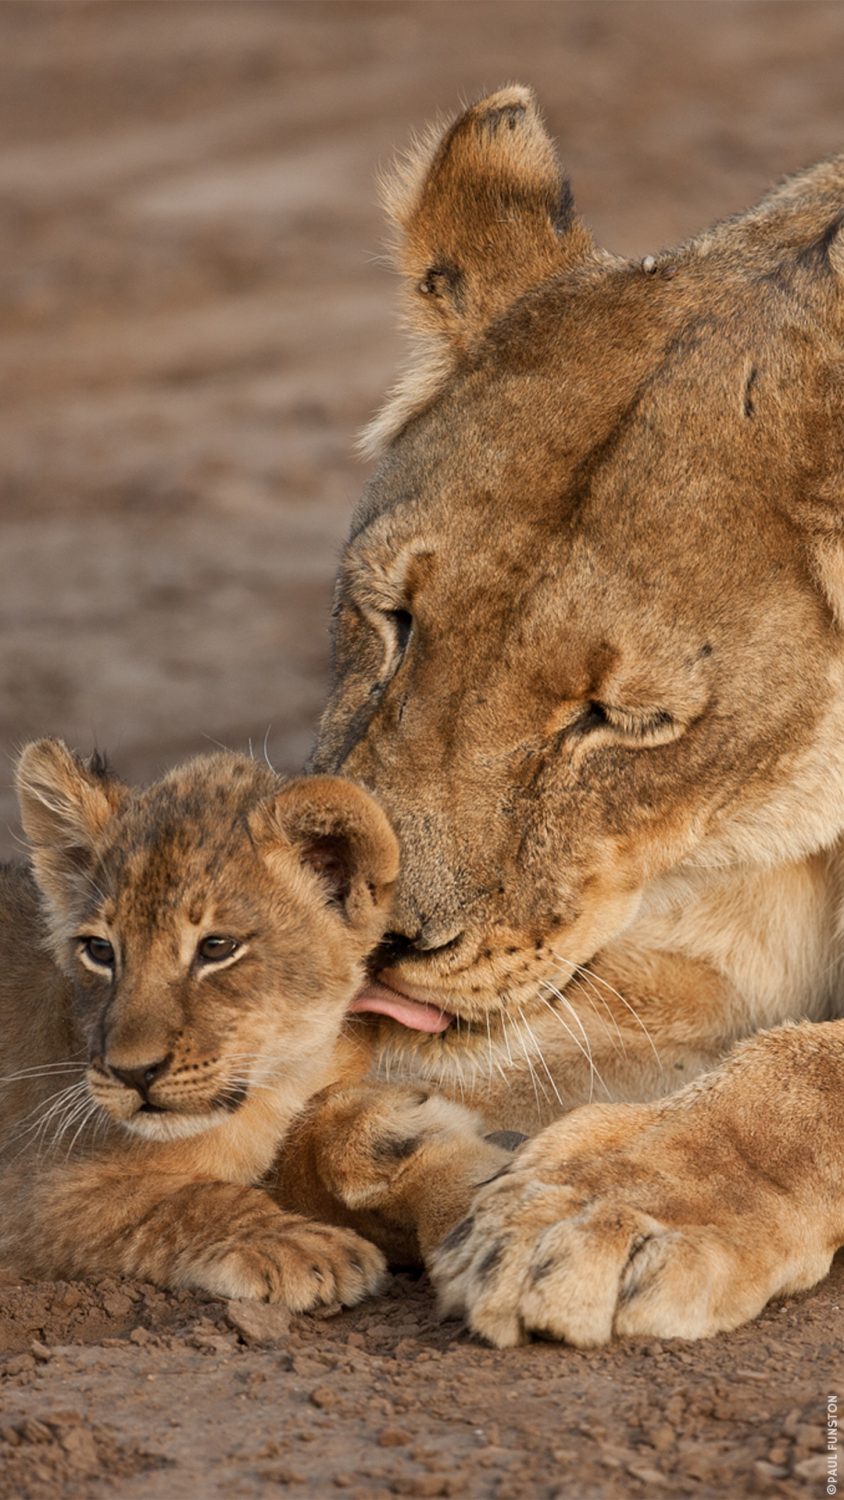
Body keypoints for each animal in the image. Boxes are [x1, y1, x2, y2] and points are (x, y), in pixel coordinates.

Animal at [0, 739, 508, 1305]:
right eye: (100, 950)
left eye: (217, 947)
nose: (132, 1073)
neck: (275, 1085)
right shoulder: (24, 1189)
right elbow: (171, 1201)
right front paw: (302, 1246)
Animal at [300, 85, 844, 1345]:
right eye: (393, 619)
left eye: (621, 721)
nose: (377, 938)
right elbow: (321, 1109)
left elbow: (809, 1067)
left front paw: (614, 1204)